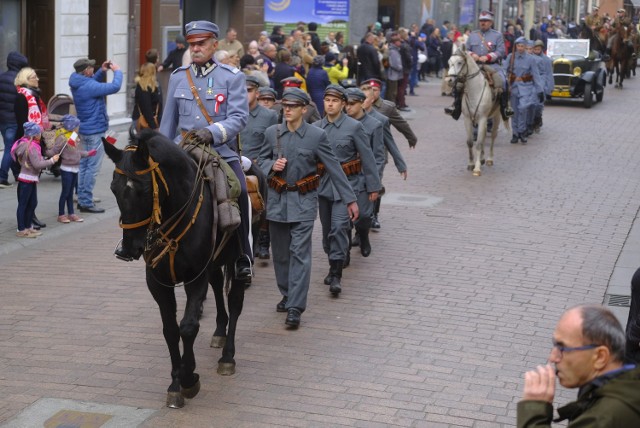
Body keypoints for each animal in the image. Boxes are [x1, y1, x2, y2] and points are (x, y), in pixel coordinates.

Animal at [102, 130, 245, 408]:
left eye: (145, 189)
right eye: (113, 189)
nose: (130, 248)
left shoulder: (195, 278)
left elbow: (187, 327)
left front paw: (189, 379)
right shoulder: (158, 282)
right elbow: (170, 330)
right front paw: (176, 382)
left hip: (239, 262)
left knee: (235, 302)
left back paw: (228, 356)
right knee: (218, 287)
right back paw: (219, 331)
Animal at [444, 44, 510, 175]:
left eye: (460, 62)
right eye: (449, 62)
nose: (448, 80)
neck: (475, 89)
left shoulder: (483, 118)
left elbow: (479, 144)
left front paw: (477, 168)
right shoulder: (468, 119)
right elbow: (470, 142)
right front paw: (471, 164)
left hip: (496, 116)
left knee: (493, 136)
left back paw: (489, 159)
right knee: (483, 137)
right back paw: (483, 158)